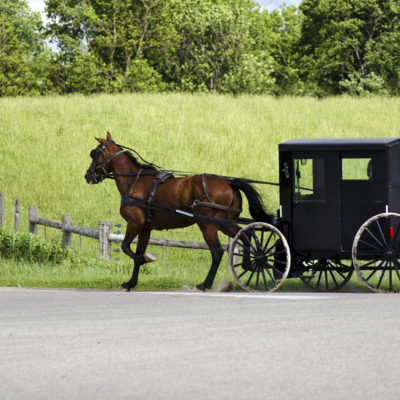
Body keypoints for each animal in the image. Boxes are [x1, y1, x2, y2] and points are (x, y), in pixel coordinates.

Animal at [84, 133, 272, 292]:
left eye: (94, 154)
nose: (87, 176)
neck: (134, 181)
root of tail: (228, 182)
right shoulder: (145, 228)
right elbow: (136, 251)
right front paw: (130, 283)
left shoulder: (134, 223)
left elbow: (126, 248)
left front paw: (145, 260)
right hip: (226, 224)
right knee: (246, 234)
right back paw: (251, 264)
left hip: (208, 225)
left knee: (217, 251)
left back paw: (204, 285)